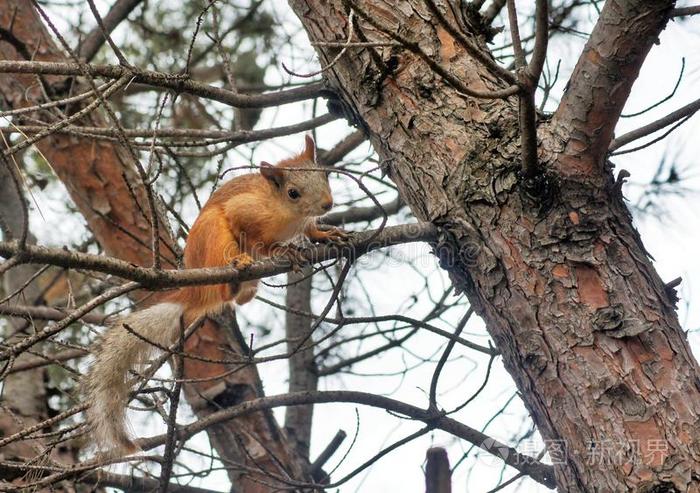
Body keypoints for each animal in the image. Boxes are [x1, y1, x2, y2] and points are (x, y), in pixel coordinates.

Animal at [85, 135, 344, 454]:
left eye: (325, 174)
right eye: (293, 193)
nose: (327, 204)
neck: (289, 214)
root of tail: (195, 293)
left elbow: (311, 230)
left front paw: (326, 235)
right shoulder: (246, 212)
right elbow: (257, 237)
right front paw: (284, 250)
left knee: (240, 296)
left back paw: (243, 290)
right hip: (215, 237)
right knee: (226, 273)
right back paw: (237, 269)